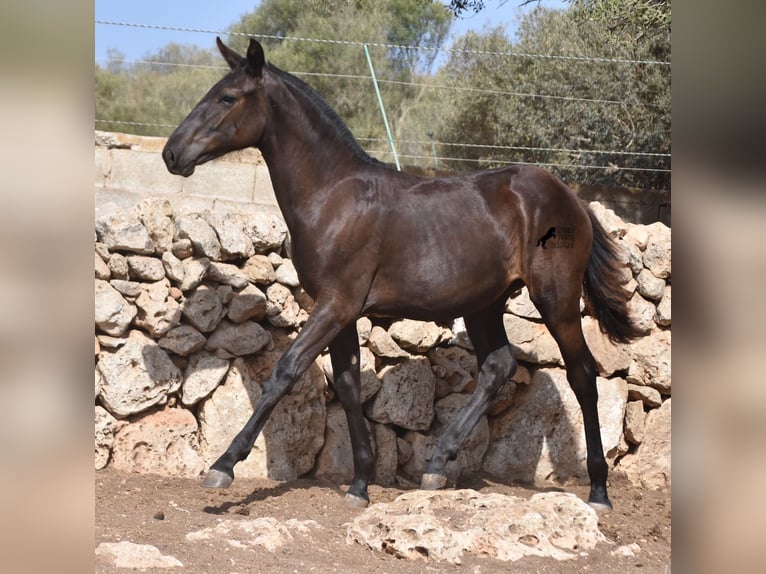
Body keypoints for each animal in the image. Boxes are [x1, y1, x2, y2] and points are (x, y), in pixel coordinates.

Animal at [164, 37, 640, 512]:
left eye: (227, 98)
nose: (172, 153)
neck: (333, 196)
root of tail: (572, 199)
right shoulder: (340, 310)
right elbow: (348, 384)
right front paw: (359, 483)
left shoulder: (337, 304)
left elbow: (285, 371)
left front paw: (223, 466)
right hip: (484, 303)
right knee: (498, 367)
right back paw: (436, 466)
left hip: (556, 298)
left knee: (582, 375)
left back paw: (599, 492)